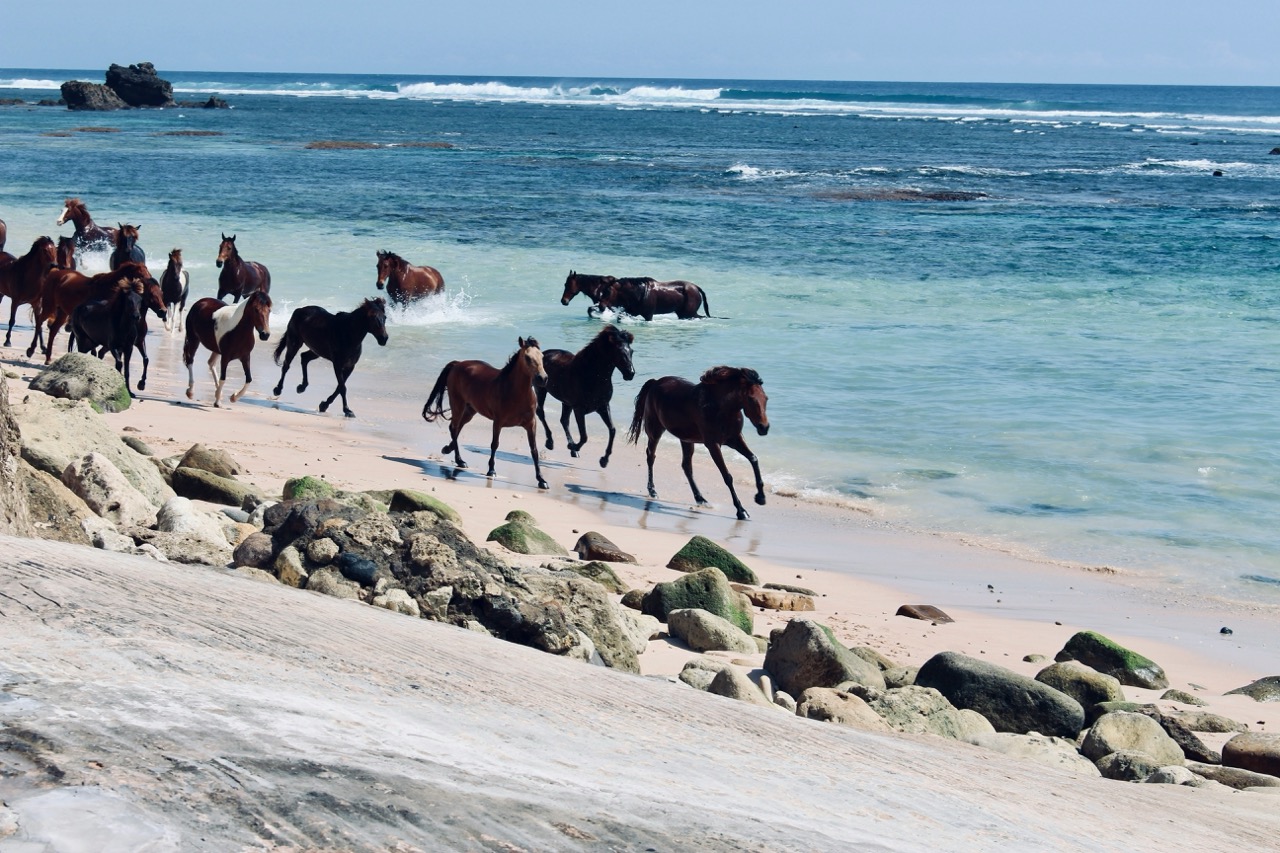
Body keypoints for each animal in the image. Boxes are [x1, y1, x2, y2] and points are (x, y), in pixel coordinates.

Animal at [421, 337, 549, 489]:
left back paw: (450, 451)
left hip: (470, 410)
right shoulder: (498, 422)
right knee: (454, 428)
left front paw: (542, 480)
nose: (543, 378)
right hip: (458, 404)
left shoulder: (531, 424)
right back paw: (460, 460)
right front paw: (491, 471)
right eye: (527, 357)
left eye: (542, 356)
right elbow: (494, 444)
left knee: (457, 428)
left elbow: (534, 450)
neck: (516, 393)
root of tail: (457, 364)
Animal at [535, 325, 636, 468]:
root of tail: (543, 354)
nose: (630, 374)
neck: (591, 375)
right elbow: (584, 436)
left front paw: (604, 460)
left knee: (564, 420)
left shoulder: (603, 407)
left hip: (566, 402)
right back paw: (551, 442)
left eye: (631, 351)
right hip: (541, 390)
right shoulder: (579, 409)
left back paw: (572, 449)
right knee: (541, 413)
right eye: (619, 352)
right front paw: (573, 447)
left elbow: (612, 430)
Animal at [627, 366, 770, 521]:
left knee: (686, 466)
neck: (720, 408)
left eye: (766, 398)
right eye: (751, 398)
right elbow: (727, 476)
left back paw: (701, 499)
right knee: (651, 456)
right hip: (655, 431)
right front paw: (741, 511)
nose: (764, 427)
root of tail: (655, 382)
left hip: (686, 439)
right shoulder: (713, 445)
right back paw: (653, 491)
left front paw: (761, 498)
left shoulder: (735, 439)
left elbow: (753, 459)